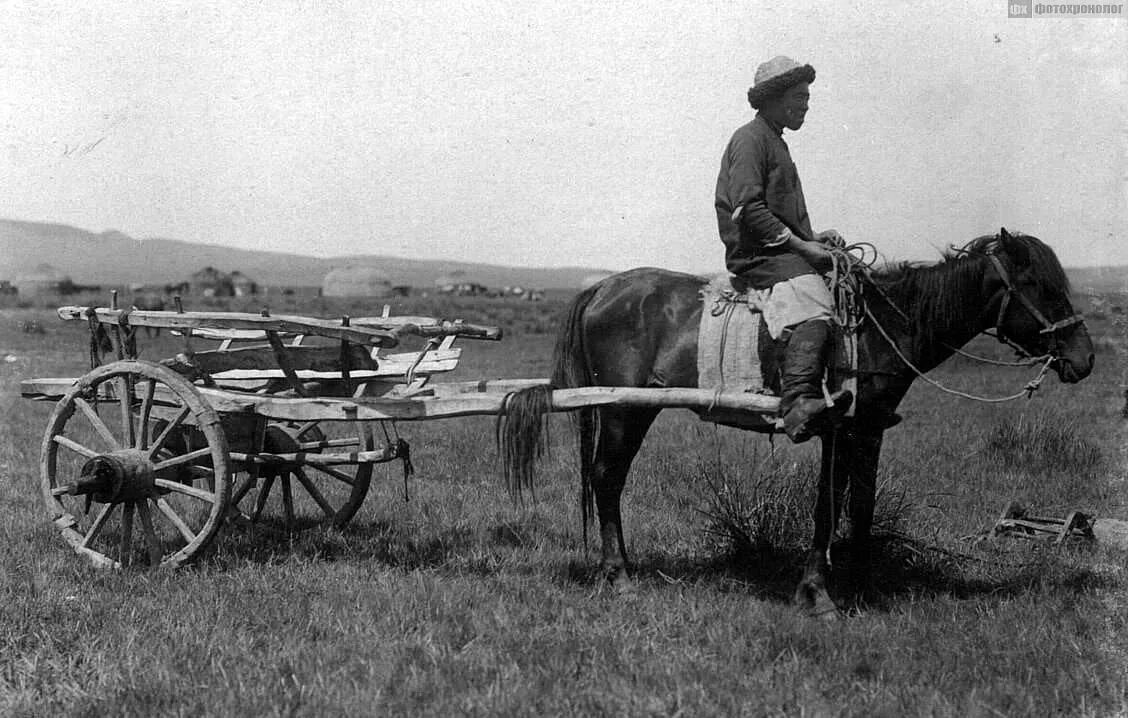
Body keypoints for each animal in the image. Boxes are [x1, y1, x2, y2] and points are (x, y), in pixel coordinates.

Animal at [500, 229, 1091, 617]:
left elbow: (851, 506)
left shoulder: (858, 431)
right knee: (607, 480)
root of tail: (602, 289)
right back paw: (620, 576)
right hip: (625, 410)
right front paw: (827, 592)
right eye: (1040, 285)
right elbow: (834, 509)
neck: (884, 326)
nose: (1082, 359)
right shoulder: (851, 430)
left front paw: (849, 586)